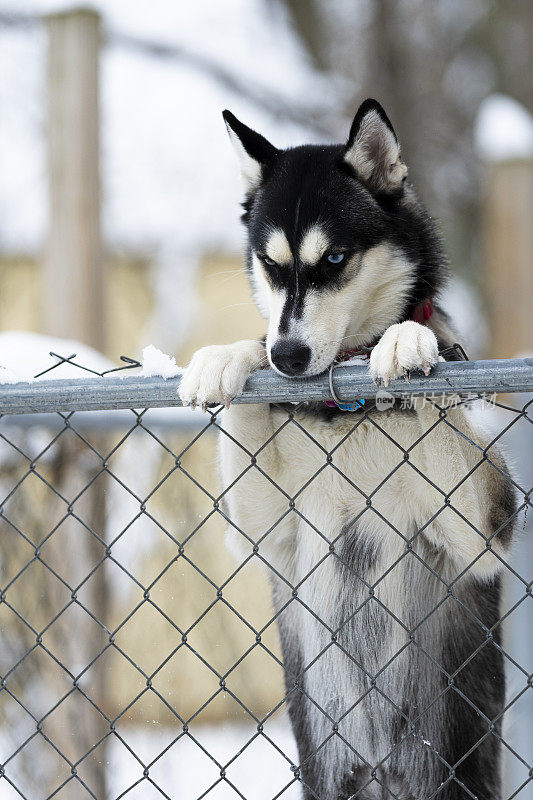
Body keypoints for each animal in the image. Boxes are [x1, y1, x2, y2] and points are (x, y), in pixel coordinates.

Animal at [180, 101, 516, 800]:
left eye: (333, 258)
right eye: (272, 264)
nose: (288, 355)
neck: (350, 415)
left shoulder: (481, 532)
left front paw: (406, 342)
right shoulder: (266, 529)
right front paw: (226, 359)